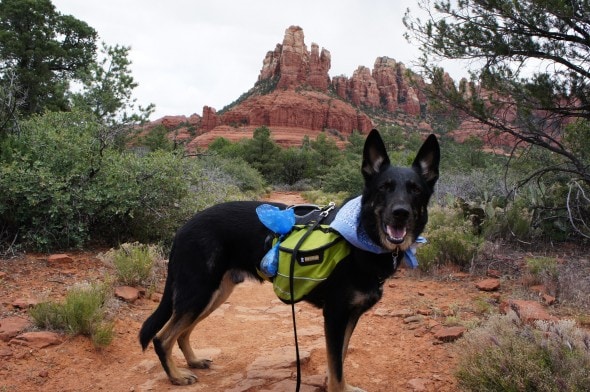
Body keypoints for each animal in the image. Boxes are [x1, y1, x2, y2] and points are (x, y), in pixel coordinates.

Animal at [141, 130, 442, 390]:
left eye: (415, 189)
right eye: (384, 188)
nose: (400, 213)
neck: (361, 236)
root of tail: (183, 228)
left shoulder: (350, 316)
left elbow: (340, 360)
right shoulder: (335, 315)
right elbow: (336, 367)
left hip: (215, 294)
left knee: (181, 333)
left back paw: (193, 361)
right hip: (199, 292)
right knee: (161, 338)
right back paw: (177, 376)